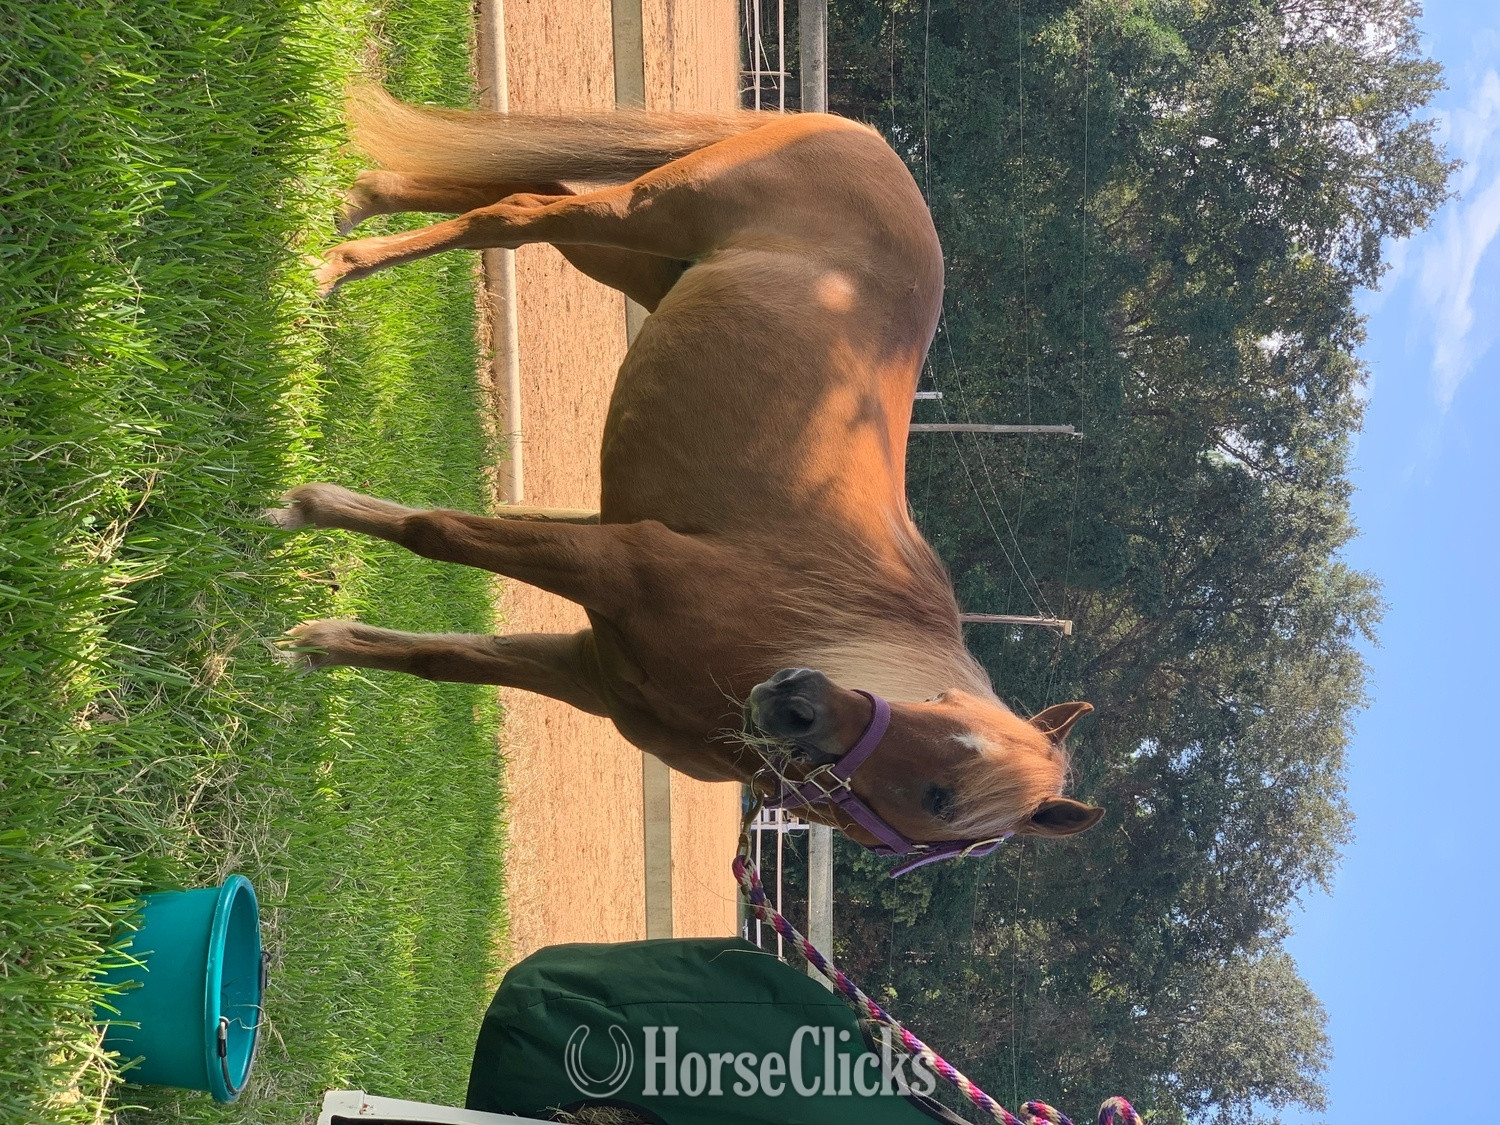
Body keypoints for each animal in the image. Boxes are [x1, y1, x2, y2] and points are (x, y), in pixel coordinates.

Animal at [269, 88, 1104, 867]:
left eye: (942, 798)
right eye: (939, 699)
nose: (798, 701)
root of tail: (866, 139)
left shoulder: (585, 671)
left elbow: (442, 658)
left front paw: (322, 639)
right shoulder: (617, 563)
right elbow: (437, 531)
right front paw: (305, 506)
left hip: (636, 259)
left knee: (528, 191)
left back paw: (358, 201)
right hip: (645, 215)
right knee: (515, 212)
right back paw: (331, 265)